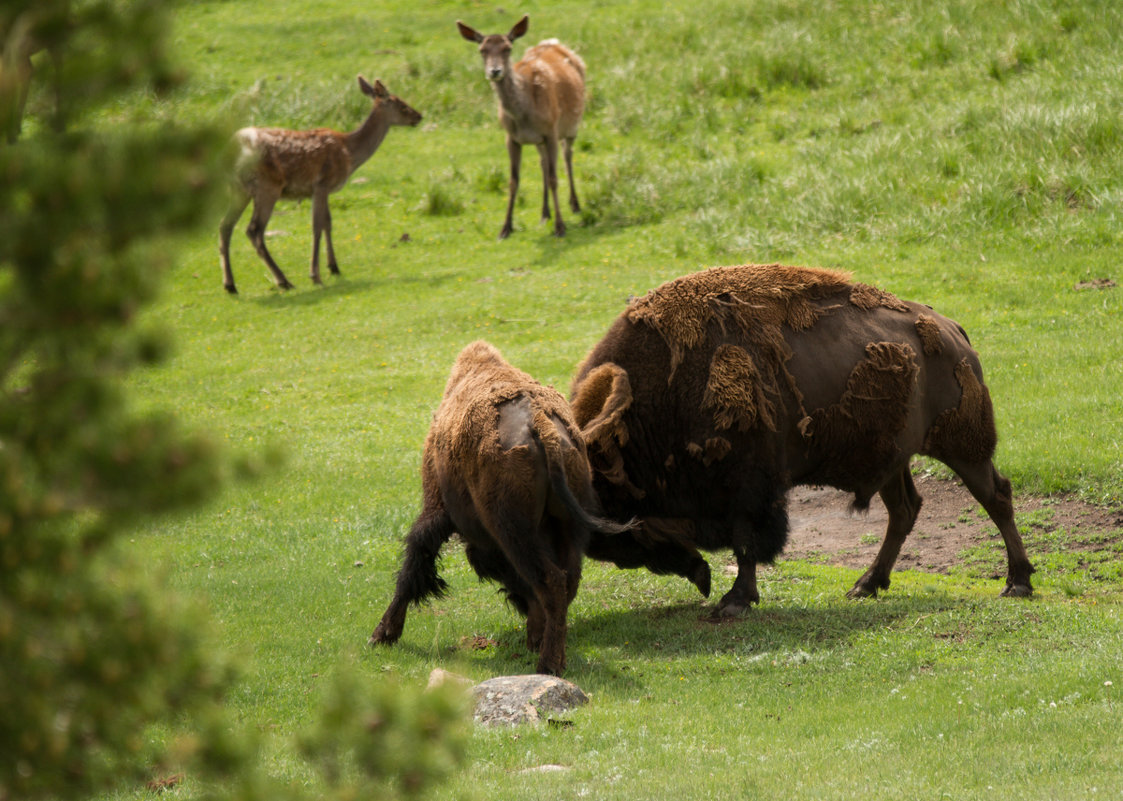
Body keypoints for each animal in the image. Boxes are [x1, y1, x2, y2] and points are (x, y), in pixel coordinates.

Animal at [216, 75, 420, 292]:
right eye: (401, 105)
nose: (419, 116)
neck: (349, 153)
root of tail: (232, 149)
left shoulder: (325, 189)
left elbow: (328, 223)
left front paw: (334, 267)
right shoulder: (322, 183)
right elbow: (317, 226)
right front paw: (315, 275)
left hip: (239, 190)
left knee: (225, 226)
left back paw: (230, 285)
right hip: (267, 186)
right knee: (254, 230)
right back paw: (283, 280)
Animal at [370, 339, 628, 674]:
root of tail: (542, 424)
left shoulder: (436, 509)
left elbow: (414, 562)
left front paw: (383, 634)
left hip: (513, 530)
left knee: (550, 581)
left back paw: (546, 664)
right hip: (569, 524)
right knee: (566, 581)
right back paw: (548, 651)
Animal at [455, 14, 588, 237]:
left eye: (507, 48)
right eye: (482, 50)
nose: (495, 71)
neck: (524, 115)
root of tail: (553, 42)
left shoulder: (551, 131)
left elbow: (554, 178)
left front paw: (560, 227)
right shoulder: (512, 138)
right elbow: (513, 181)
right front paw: (505, 228)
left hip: (571, 126)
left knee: (567, 156)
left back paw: (575, 204)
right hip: (539, 141)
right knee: (543, 164)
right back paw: (544, 213)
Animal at [570, 262, 1033, 611]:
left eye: (611, 502)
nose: (697, 576)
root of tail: (953, 330)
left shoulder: (751, 489)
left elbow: (747, 544)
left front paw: (734, 601)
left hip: (963, 448)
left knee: (996, 497)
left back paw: (1018, 583)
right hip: (892, 458)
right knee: (905, 510)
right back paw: (865, 585)